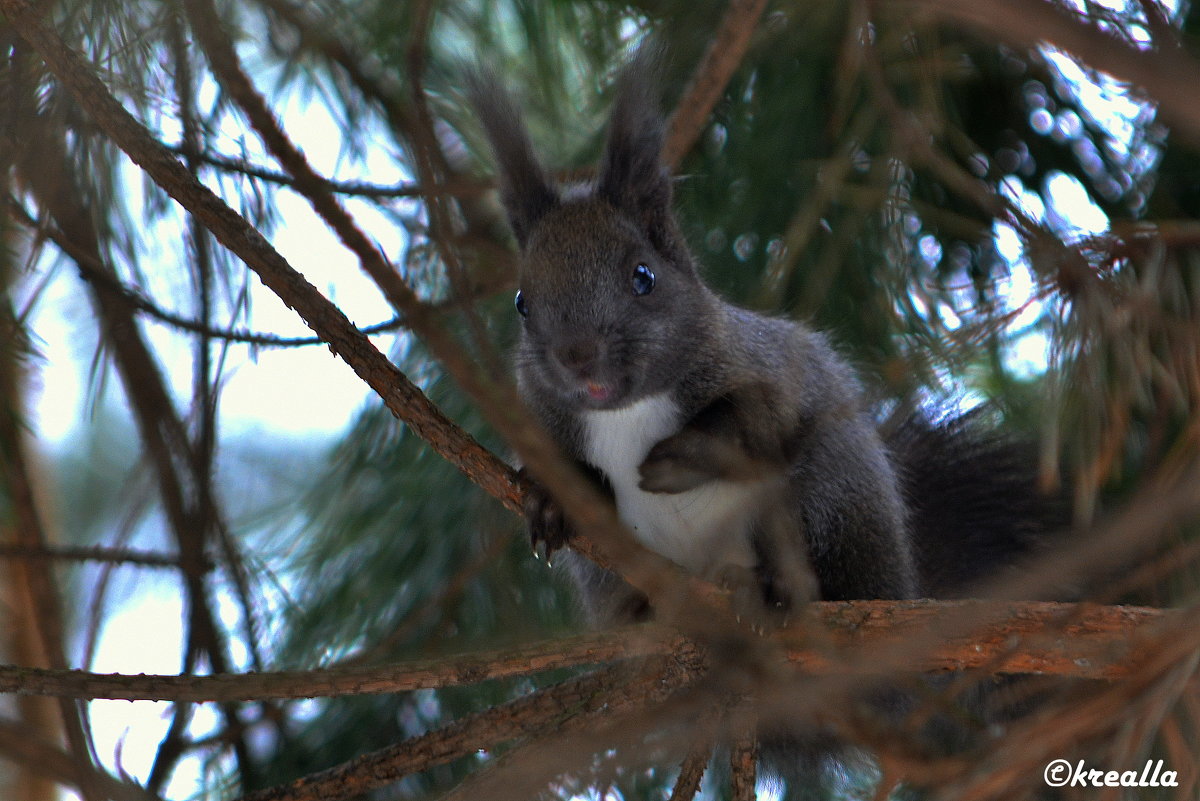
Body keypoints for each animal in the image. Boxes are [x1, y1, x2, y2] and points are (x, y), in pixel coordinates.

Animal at [463, 53, 1056, 623]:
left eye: (643, 277)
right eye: (521, 302)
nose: (577, 355)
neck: (625, 414)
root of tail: (904, 585)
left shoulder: (770, 367)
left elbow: (753, 419)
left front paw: (678, 456)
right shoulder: (541, 418)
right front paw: (550, 498)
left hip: (830, 492)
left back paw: (774, 591)